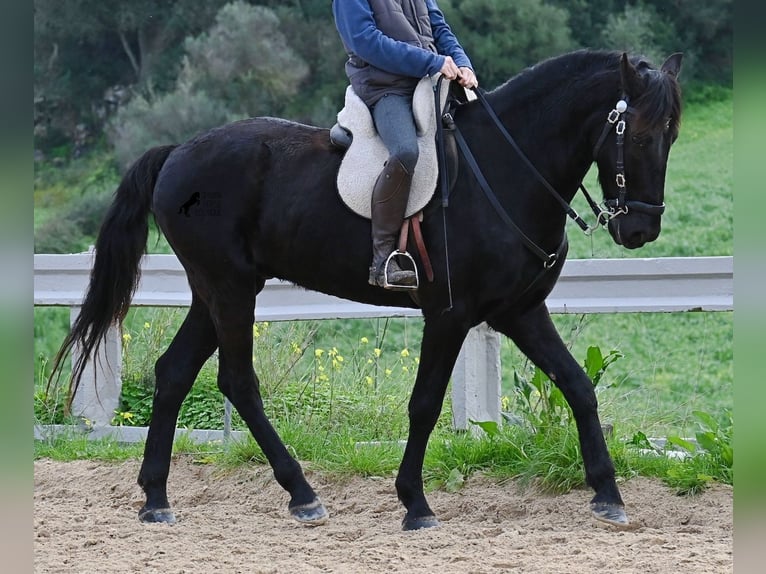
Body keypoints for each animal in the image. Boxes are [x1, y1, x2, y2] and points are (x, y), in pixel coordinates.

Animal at [51, 49, 682, 530]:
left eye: (671, 136)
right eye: (636, 135)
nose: (640, 229)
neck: (507, 168)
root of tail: (177, 153)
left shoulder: (520, 311)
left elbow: (578, 386)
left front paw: (608, 495)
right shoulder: (450, 315)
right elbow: (425, 404)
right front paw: (415, 503)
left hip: (217, 292)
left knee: (175, 372)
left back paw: (157, 498)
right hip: (228, 290)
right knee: (237, 382)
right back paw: (302, 494)